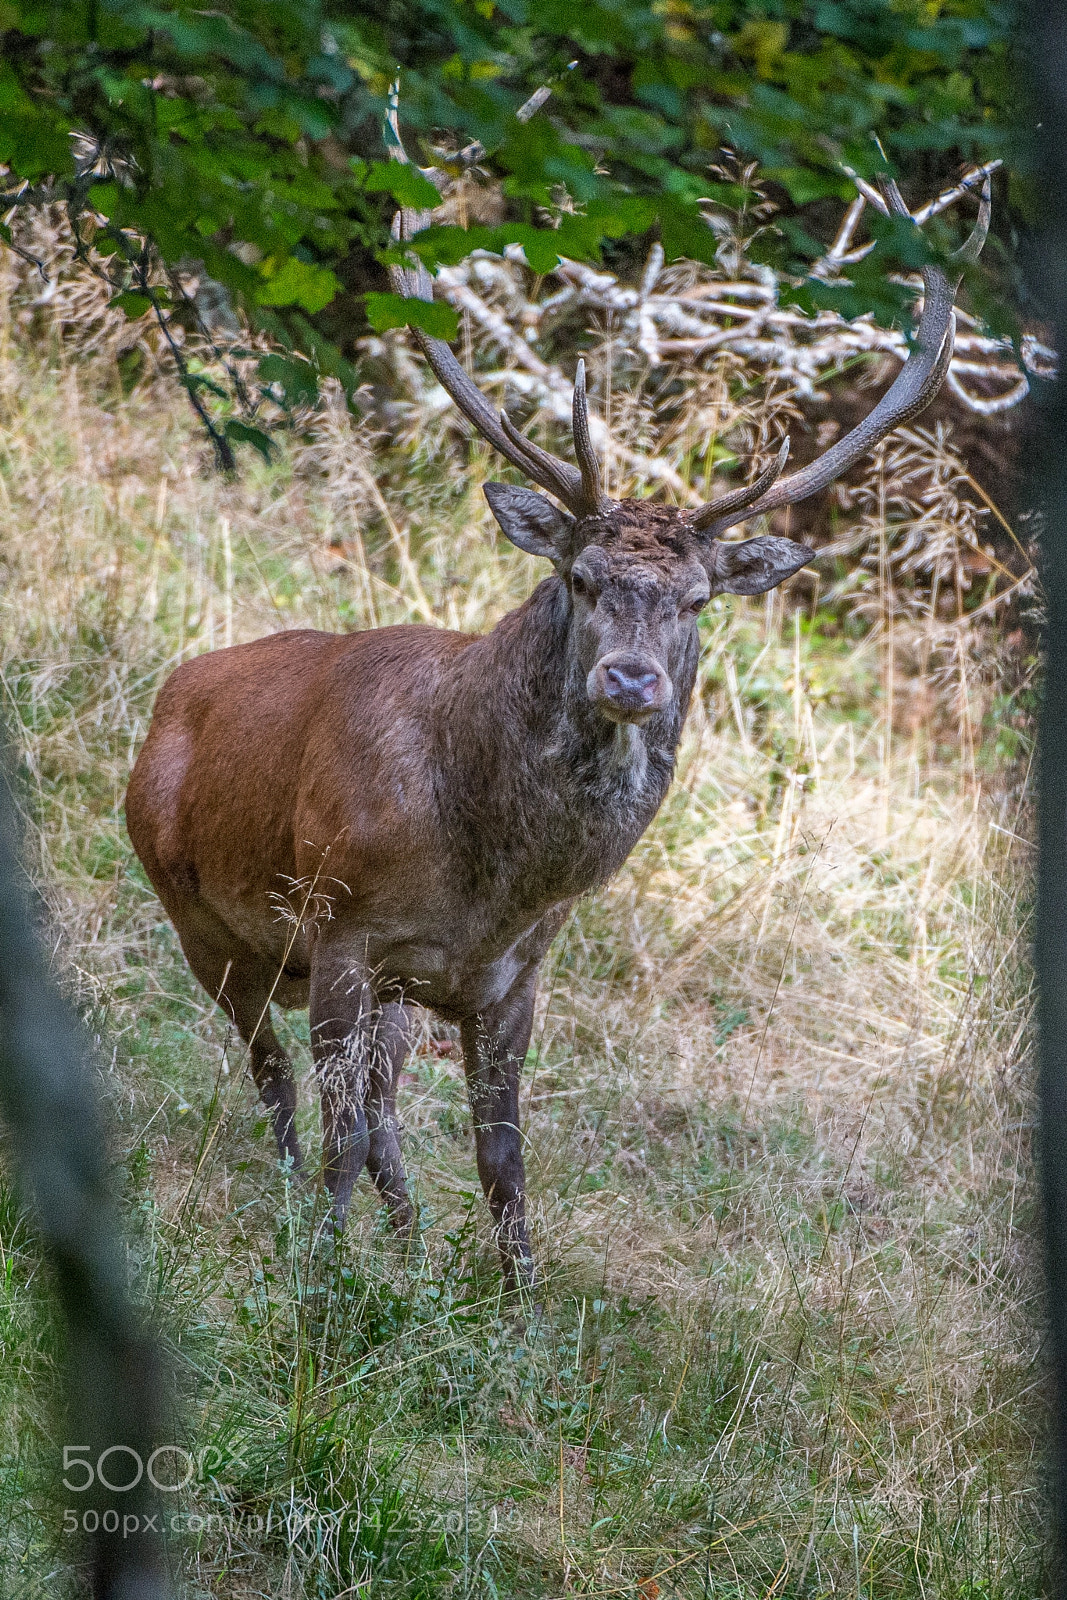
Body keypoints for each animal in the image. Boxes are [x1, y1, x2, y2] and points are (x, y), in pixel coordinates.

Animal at [125, 175, 989, 1287]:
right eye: (579, 577)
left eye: (698, 600)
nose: (629, 677)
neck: (491, 877)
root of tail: (170, 696)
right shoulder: (343, 928)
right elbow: (338, 1132)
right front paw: (320, 1283)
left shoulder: (510, 975)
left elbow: (501, 1157)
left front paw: (515, 1301)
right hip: (203, 921)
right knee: (274, 1078)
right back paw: (295, 1210)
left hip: (368, 989)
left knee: (378, 1107)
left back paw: (407, 1244)